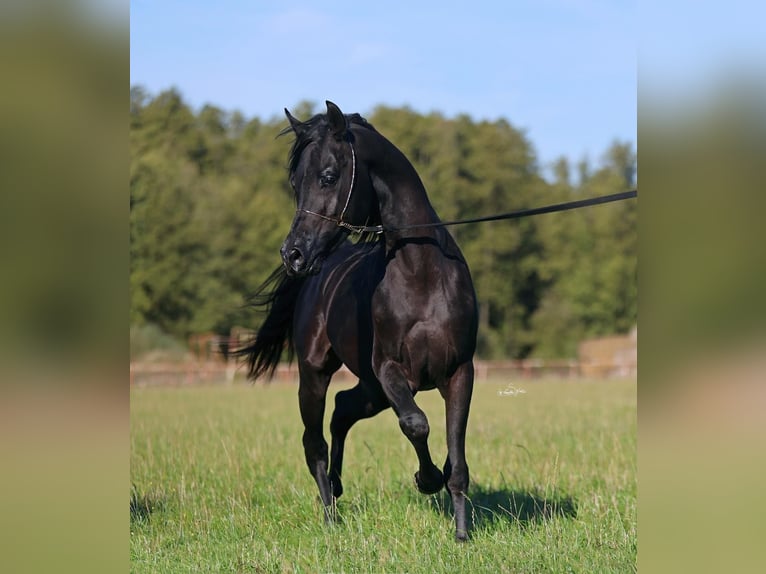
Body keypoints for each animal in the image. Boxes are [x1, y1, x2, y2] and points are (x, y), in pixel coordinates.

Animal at [239, 101, 478, 541]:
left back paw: (337, 486)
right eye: (295, 183)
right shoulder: (389, 370)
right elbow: (416, 424)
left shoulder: (459, 372)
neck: (421, 273)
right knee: (314, 441)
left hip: (372, 391)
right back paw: (331, 515)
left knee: (342, 410)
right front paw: (426, 479)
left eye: (328, 176)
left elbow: (457, 459)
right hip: (317, 375)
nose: (293, 254)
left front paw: (461, 534)